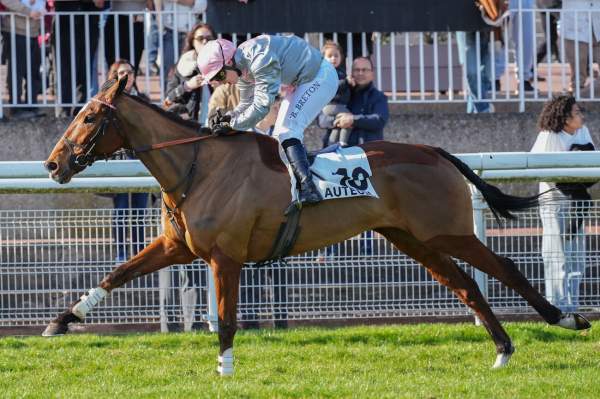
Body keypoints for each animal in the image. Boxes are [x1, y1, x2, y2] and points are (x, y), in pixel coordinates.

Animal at [43, 77, 592, 376]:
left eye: (88, 117)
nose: (52, 164)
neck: (199, 165)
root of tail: (434, 150)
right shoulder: (177, 246)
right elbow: (115, 274)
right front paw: (61, 320)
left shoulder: (225, 257)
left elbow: (225, 318)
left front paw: (225, 368)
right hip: (413, 239)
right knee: (464, 285)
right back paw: (502, 350)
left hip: (446, 231)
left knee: (504, 267)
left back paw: (566, 319)